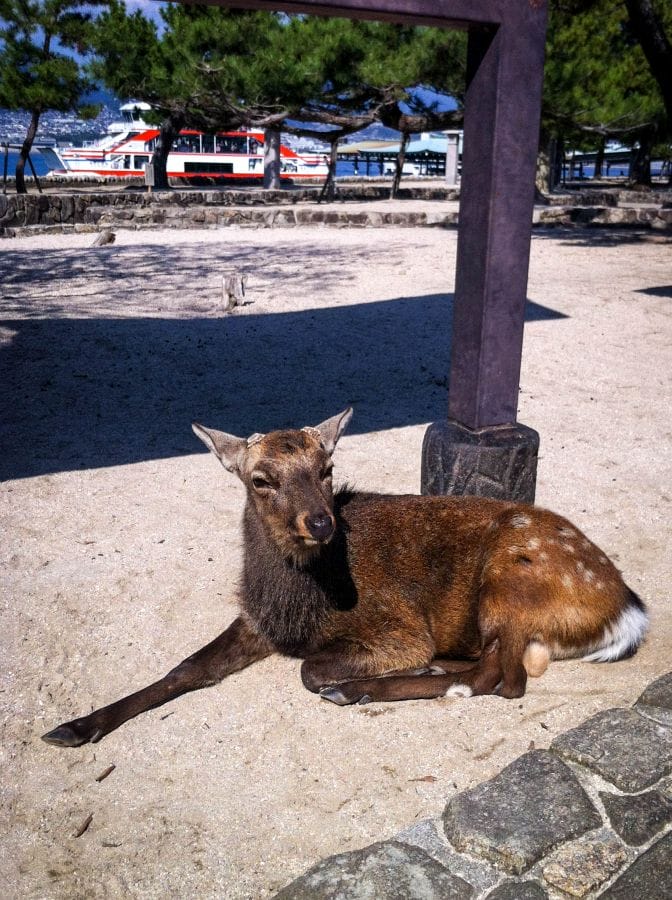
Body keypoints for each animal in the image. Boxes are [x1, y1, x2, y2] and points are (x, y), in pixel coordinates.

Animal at [42, 408, 648, 748]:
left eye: (327, 469)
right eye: (261, 479)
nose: (321, 522)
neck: (299, 606)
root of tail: (626, 611)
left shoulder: (400, 627)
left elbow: (309, 668)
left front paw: (347, 677)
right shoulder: (257, 620)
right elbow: (186, 668)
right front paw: (72, 727)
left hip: (510, 581)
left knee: (502, 679)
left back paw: (359, 688)